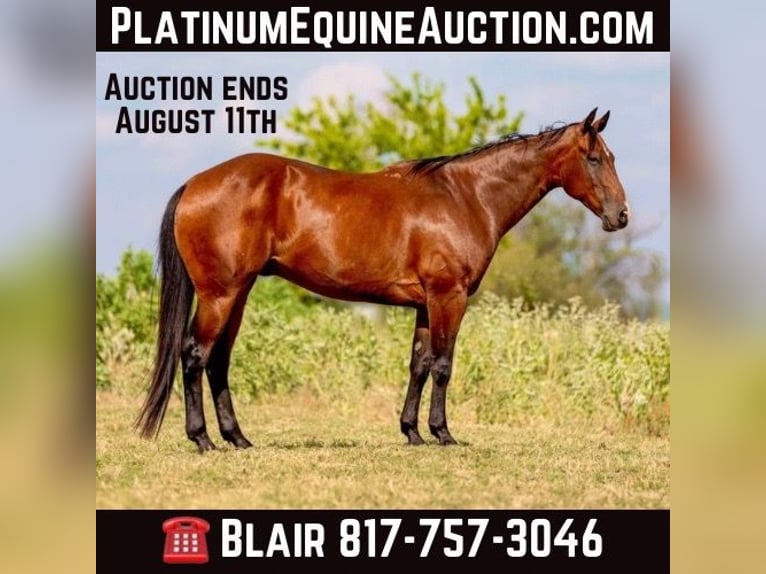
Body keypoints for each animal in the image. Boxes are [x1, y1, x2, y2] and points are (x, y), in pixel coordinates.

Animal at [136, 108, 629, 452]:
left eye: (612, 156)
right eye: (592, 158)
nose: (620, 216)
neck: (466, 196)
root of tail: (195, 184)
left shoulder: (425, 304)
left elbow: (419, 365)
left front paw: (412, 432)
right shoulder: (449, 297)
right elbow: (444, 365)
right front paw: (443, 433)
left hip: (236, 295)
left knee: (218, 361)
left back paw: (237, 438)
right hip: (220, 294)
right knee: (195, 355)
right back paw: (202, 439)